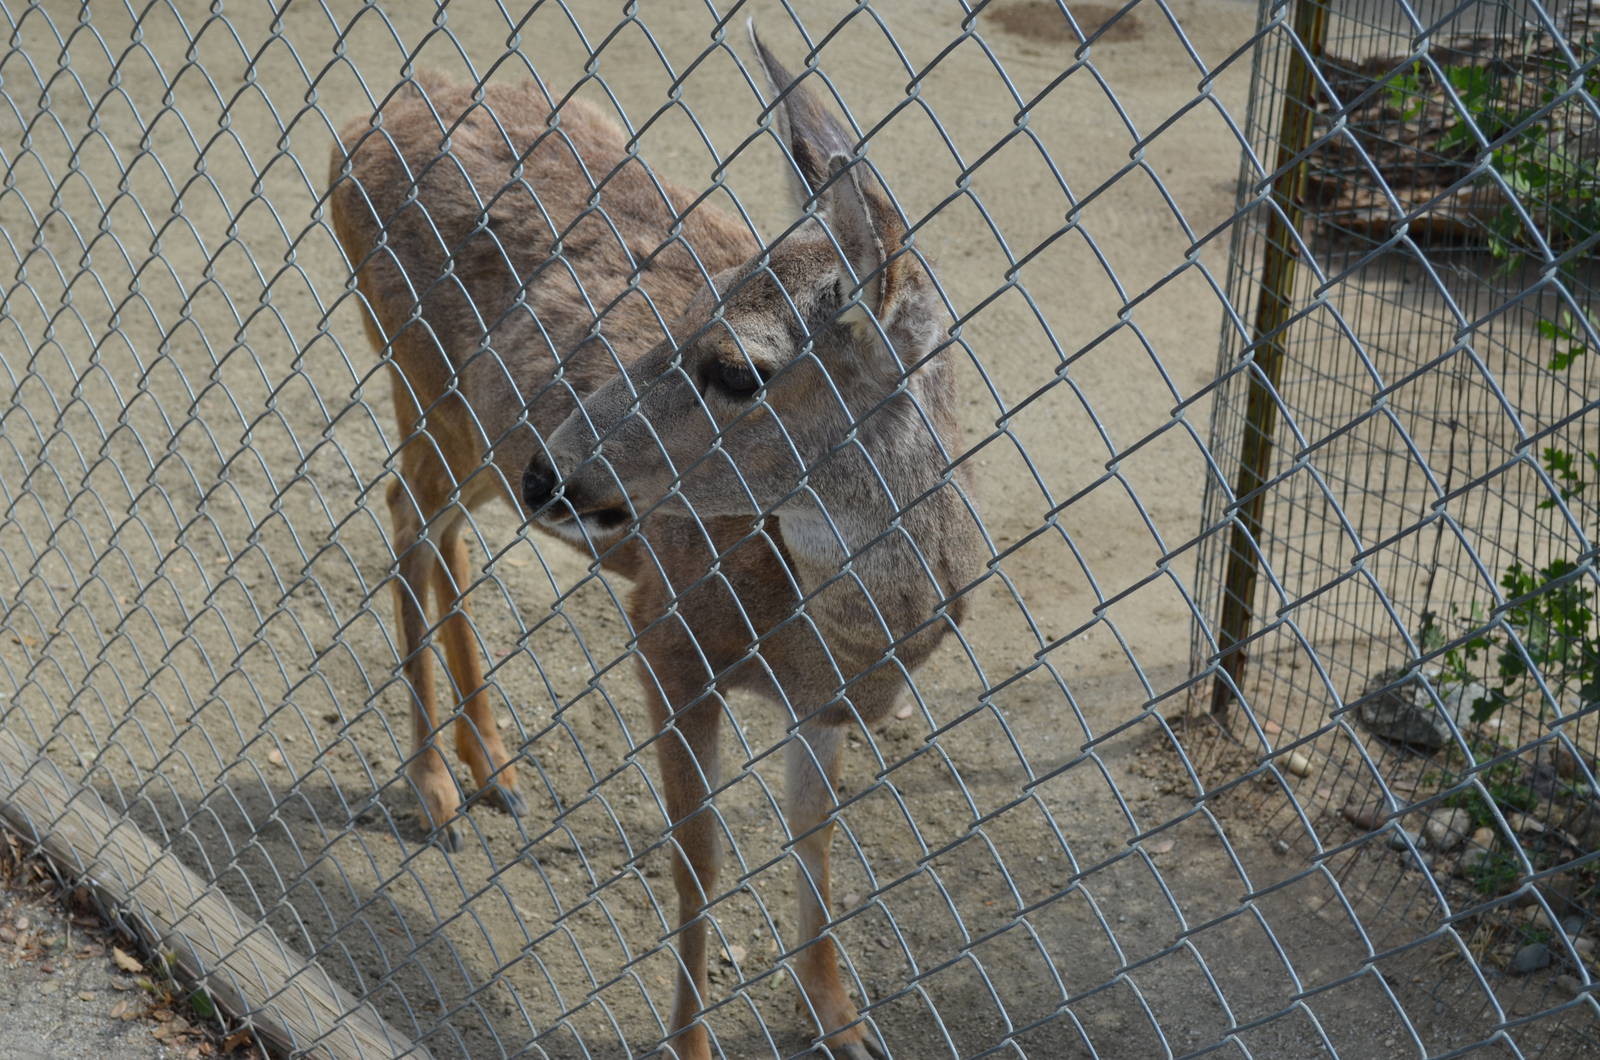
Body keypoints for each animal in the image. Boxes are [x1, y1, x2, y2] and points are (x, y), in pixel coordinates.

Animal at [328, 27, 981, 1060]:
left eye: (739, 368)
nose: (555, 472)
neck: (837, 632)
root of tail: (354, 128)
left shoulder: (824, 704)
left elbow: (816, 838)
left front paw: (840, 1021)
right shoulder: (668, 634)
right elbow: (697, 859)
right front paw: (691, 1041)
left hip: (474, 424)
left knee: (445, 530)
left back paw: (496, 767)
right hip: (423, 375)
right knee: (405, 515)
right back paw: (434, 788)